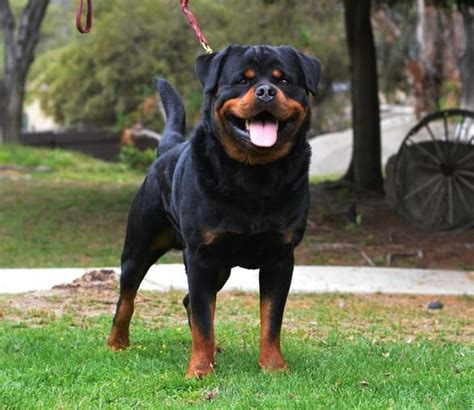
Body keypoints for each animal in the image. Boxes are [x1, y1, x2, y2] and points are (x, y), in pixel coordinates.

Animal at [107, 44, 320, 378]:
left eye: (284, 80)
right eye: (242, 80)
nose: (266, 91)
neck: (254, 174)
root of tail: (168, 148)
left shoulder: (280, 257)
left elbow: (271, 319)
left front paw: (273, 367)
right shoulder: (201, 257)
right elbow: (204, 321)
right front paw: (199, 371)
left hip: (220, 268)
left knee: (189, 301)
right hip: (140, 247)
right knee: (127, 297)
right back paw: (117, 342)